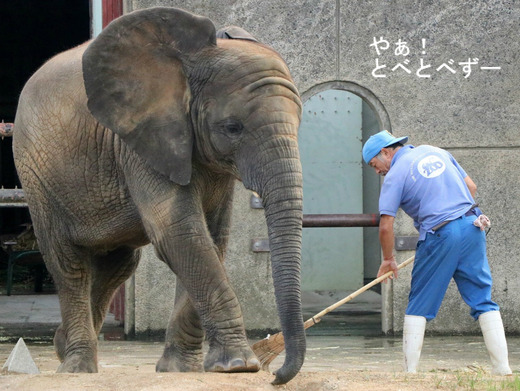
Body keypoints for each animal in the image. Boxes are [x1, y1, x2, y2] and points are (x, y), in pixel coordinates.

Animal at [13, 6, 304, 386]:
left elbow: (211, 238)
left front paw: (181, 369)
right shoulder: (139, 140)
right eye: (232, 128)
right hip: (37, 174)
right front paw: (239, 365)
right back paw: (76, 367)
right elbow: (181, 233)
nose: (277, 375)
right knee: (69, 263)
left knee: (118, 265)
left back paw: (62, 346)